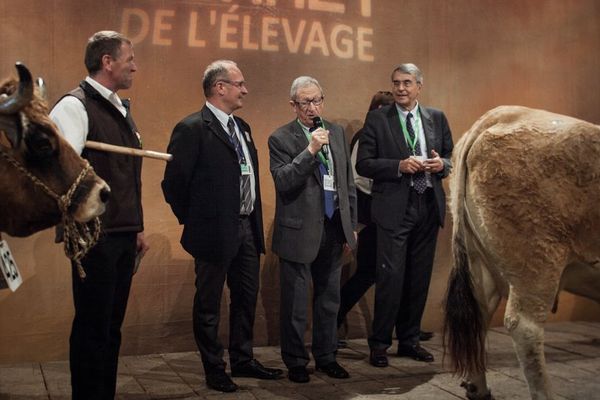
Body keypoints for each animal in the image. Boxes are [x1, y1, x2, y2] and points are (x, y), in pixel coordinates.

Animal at [440, 105, 600, 400]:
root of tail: (503, 113)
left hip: (478, 262)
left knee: (479, 316)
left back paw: (478, 388)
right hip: (537, 261)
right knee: (524, 327)